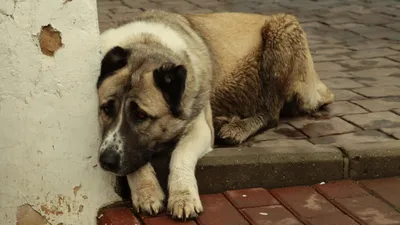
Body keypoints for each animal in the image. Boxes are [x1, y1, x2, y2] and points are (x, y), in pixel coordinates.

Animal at [95, 9, 332, 220]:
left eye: (141, 116)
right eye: (106, 109)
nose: (105, 161)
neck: (146, 43)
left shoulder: (198, 126)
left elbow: (179, 156)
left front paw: (183, 197)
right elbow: (133, 161)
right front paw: (146, 191)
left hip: (281, 34)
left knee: (271, 113)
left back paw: (237, 128)